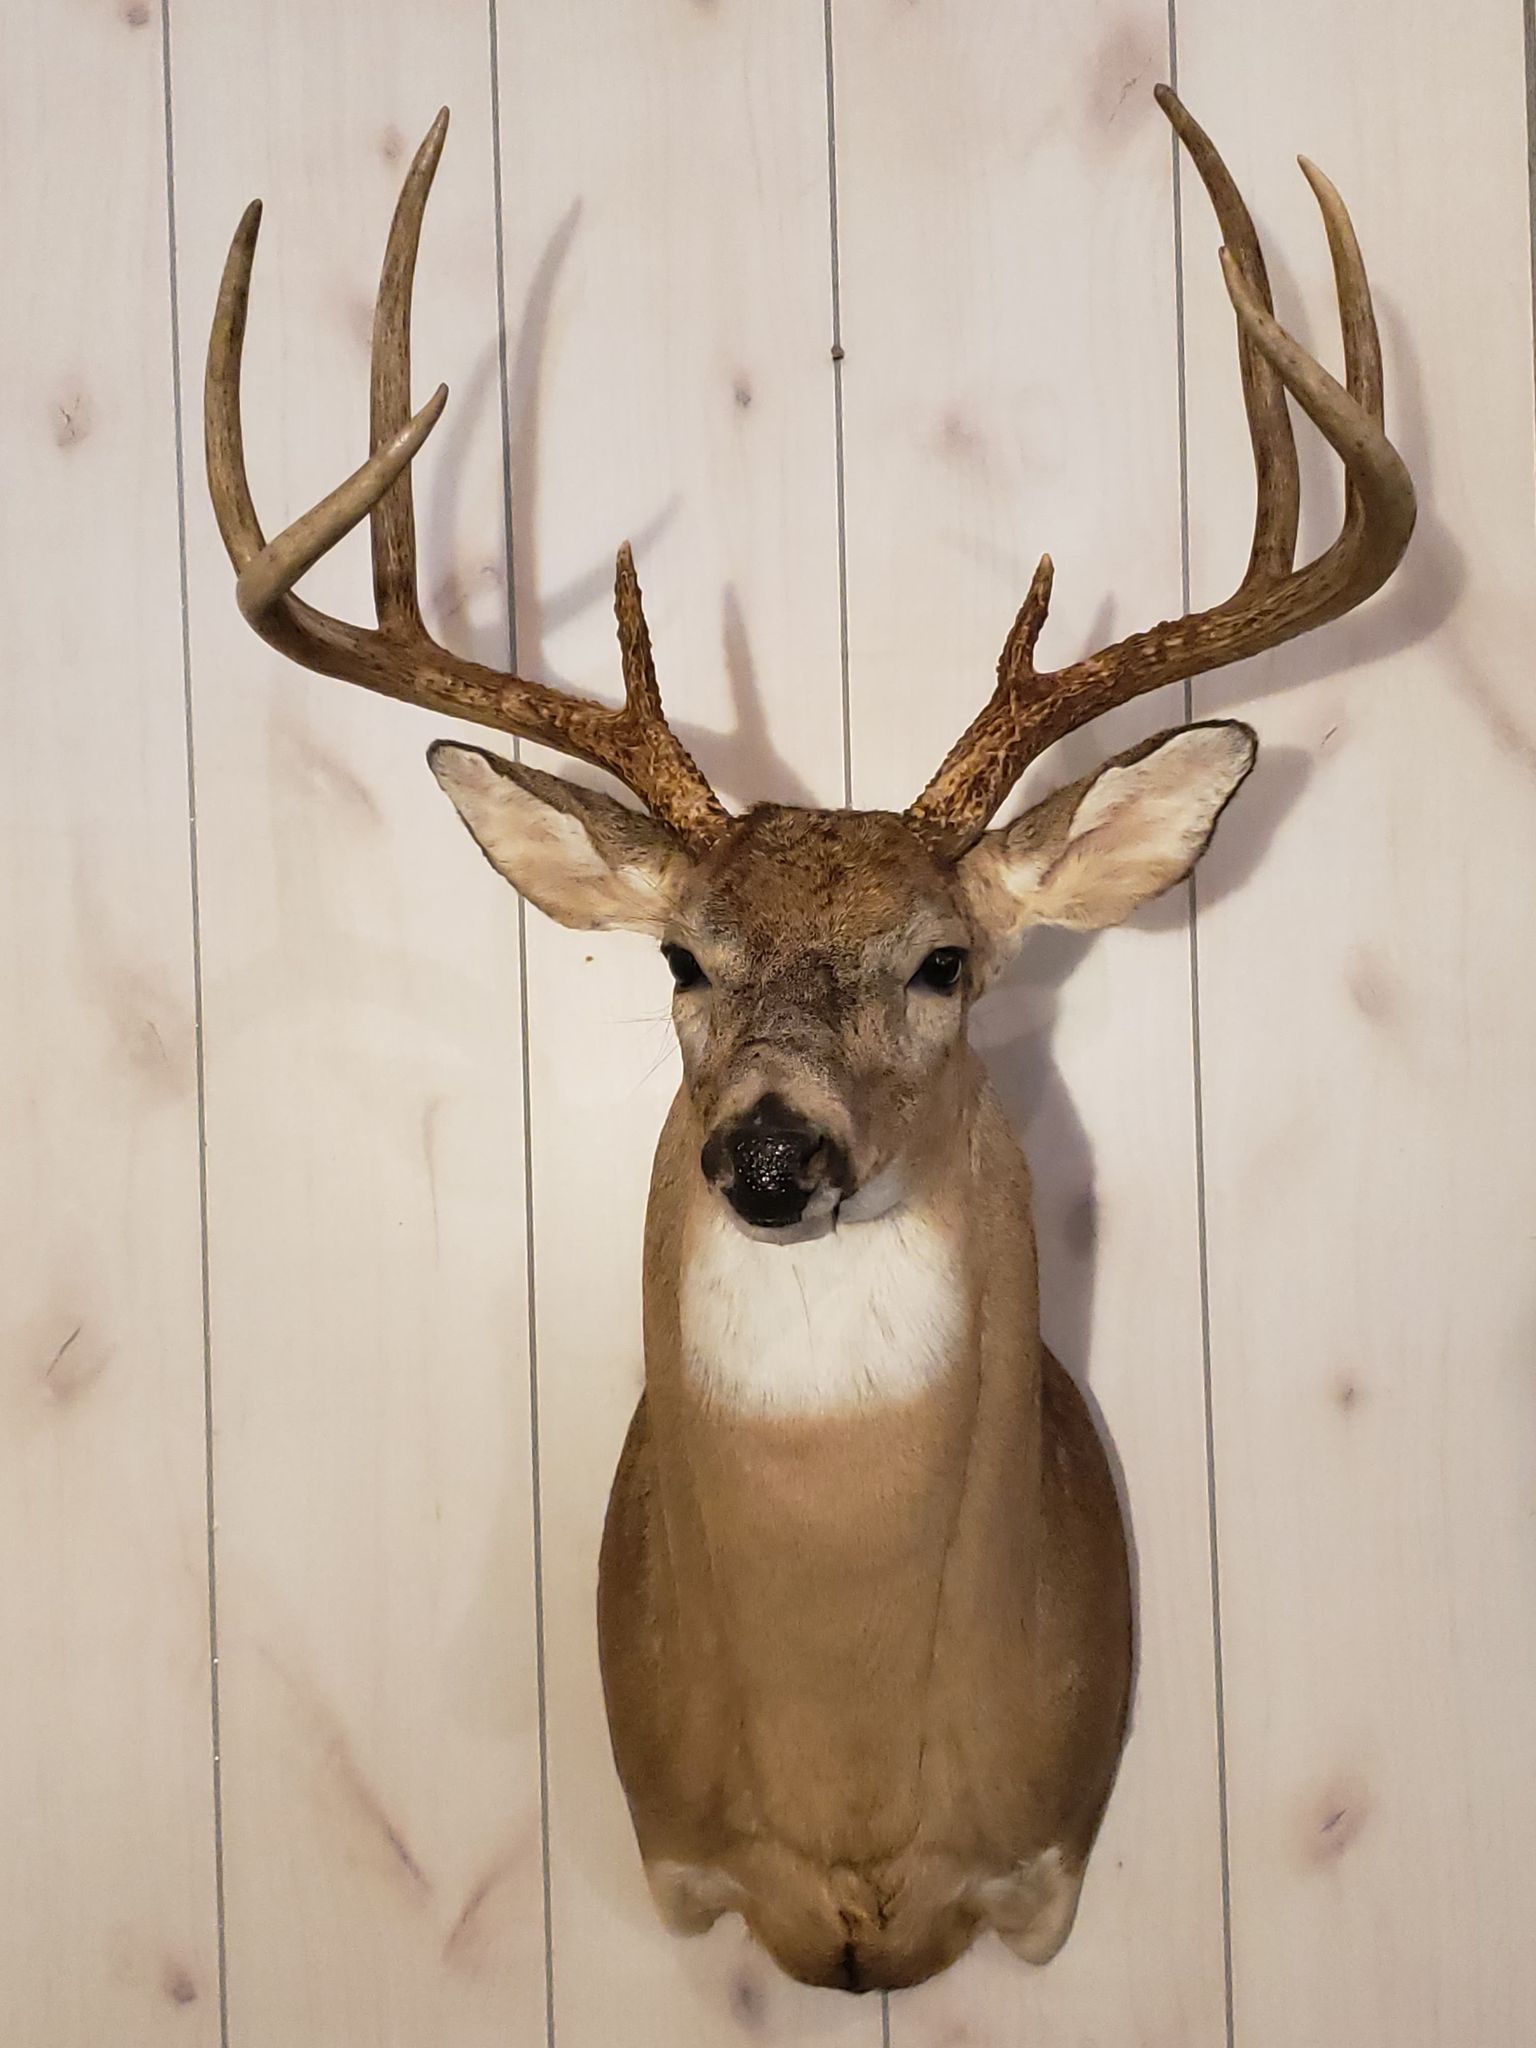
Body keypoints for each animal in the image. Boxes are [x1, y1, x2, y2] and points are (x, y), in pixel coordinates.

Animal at [205, 87, 1413, 1994]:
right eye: (681, 955)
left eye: (945, 961)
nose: (772, 1152)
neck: (850, 1800)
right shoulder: (680, 1866)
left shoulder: (1044, 1872)